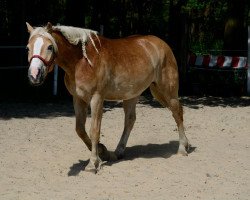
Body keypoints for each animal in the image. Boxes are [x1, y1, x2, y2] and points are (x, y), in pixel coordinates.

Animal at [25, 21, 189, 172]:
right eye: (28, 47)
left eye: (49, 47)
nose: (34, 75)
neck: (81, 61)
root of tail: (162, 44)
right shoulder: (78, 99)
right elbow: (80, 129)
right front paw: (103, 152)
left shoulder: (96, 98)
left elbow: (94, 130)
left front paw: (93, 163)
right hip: (132, 94)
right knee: (130, 120)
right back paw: (118, 152)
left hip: (167, 91)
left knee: (177, 113)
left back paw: (182, 148)